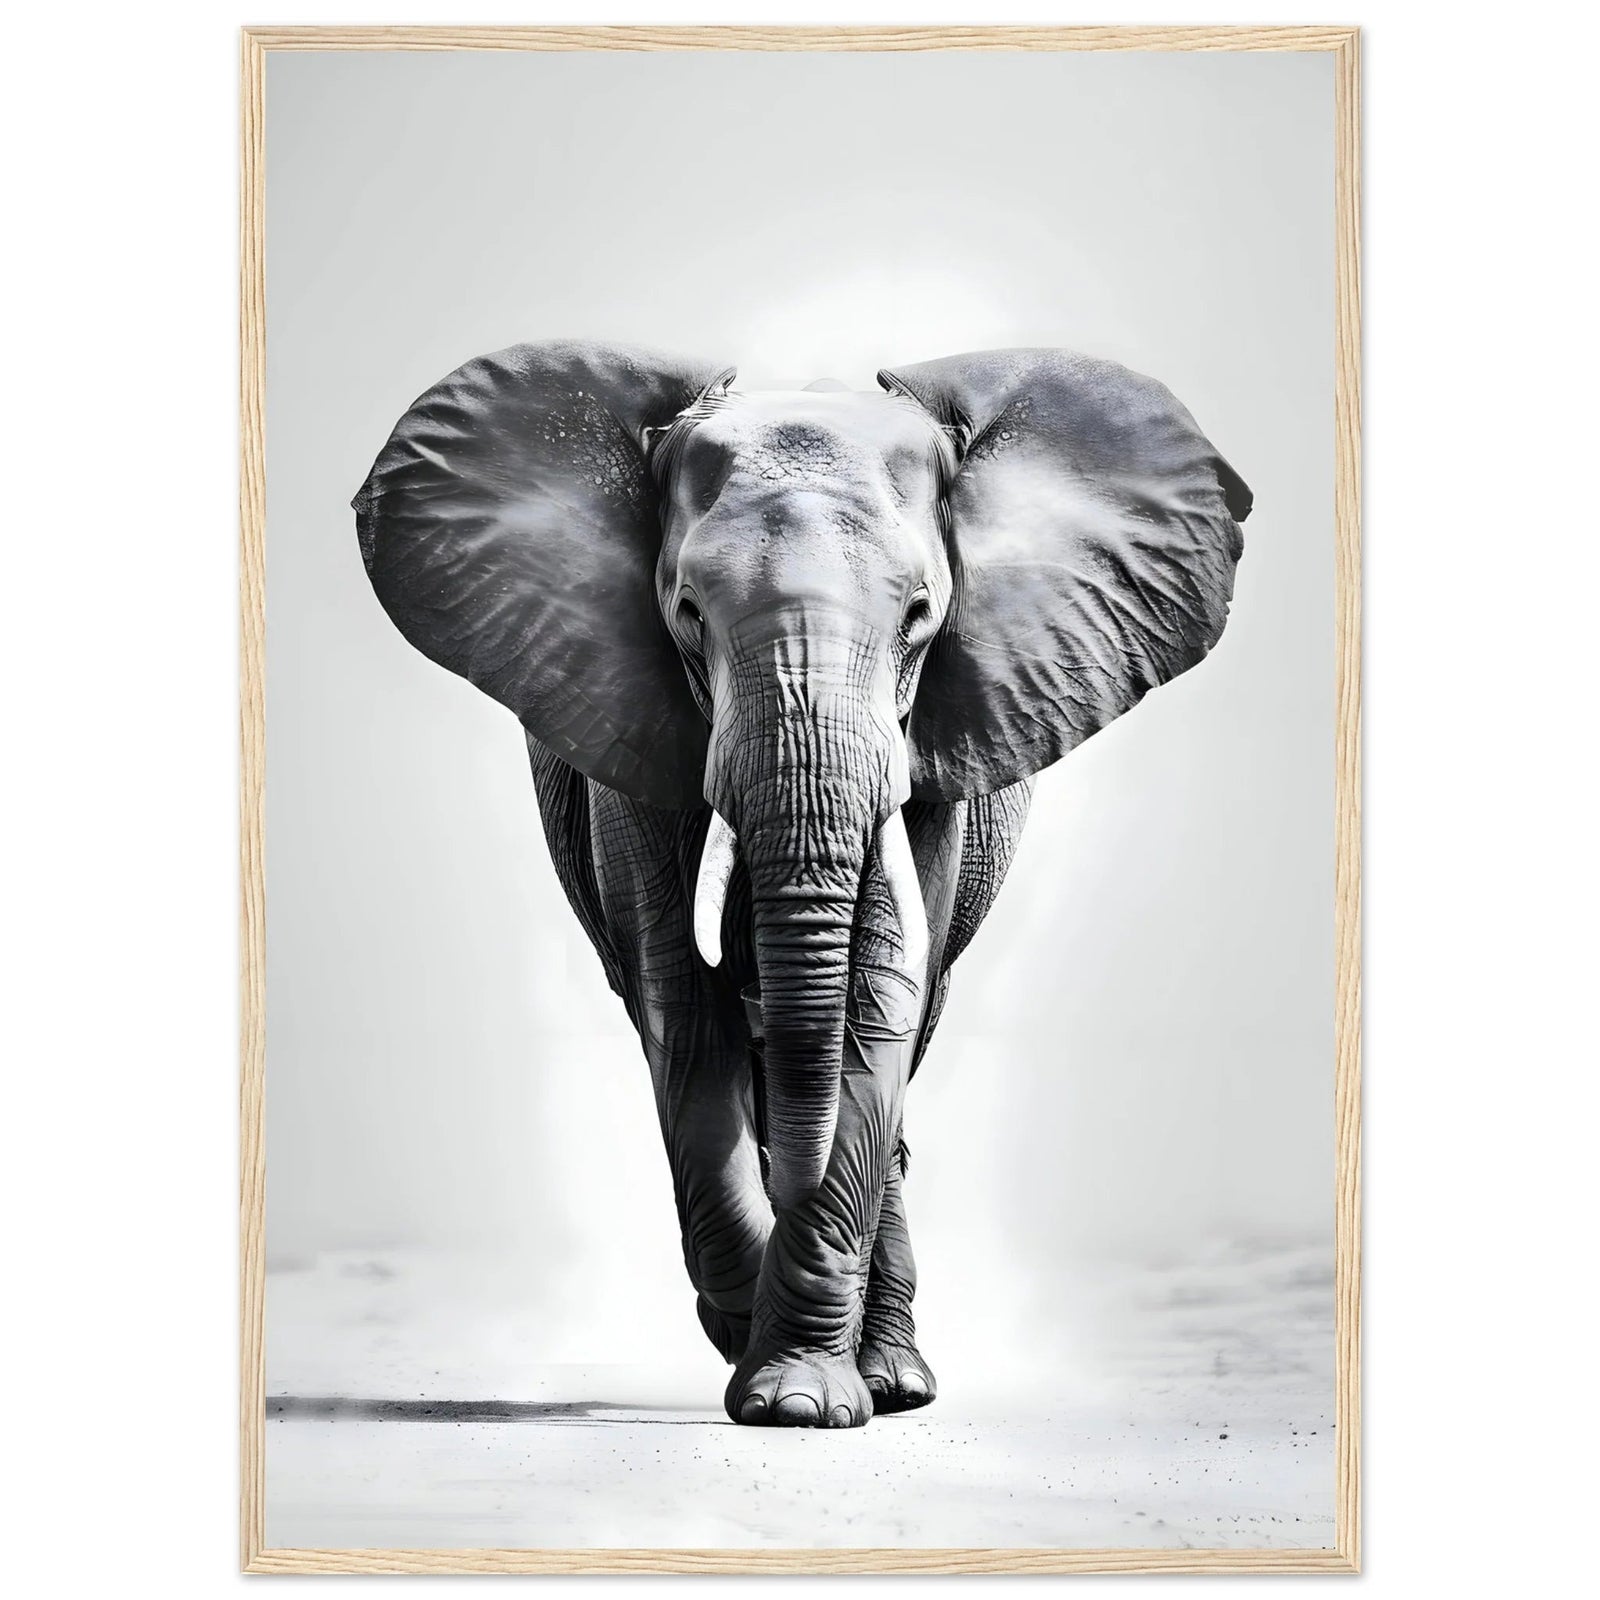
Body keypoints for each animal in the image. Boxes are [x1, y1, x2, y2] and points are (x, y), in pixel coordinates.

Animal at [353, 339, 1251, 1429]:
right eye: (688, 614)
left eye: (920, 616)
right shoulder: (630, 731)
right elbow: (684, 1006)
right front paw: (759, 1356)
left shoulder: (934, 744)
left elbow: (876, 1003)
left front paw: (800, 1398)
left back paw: (893, 1378)